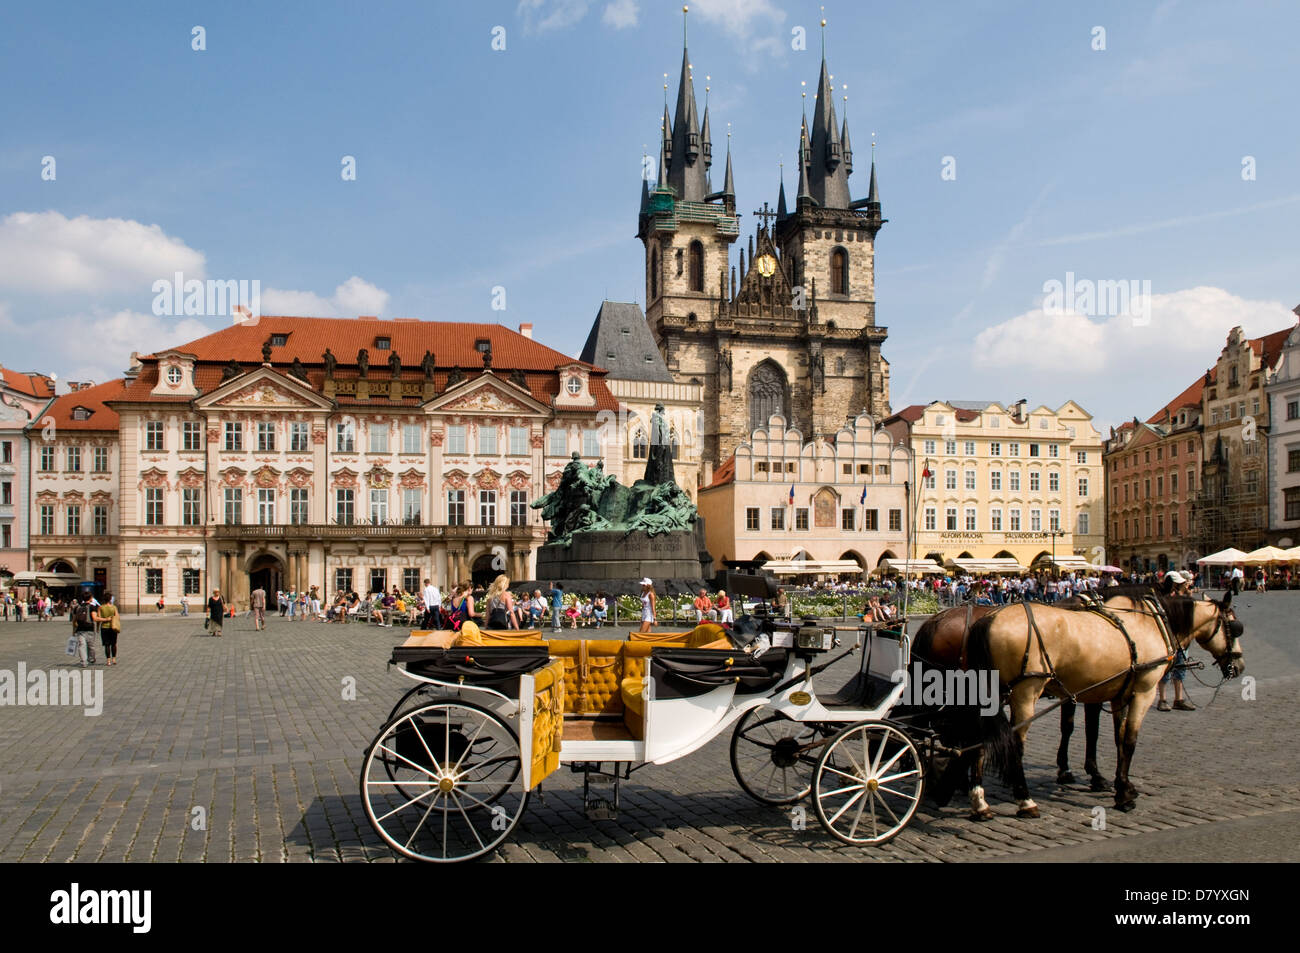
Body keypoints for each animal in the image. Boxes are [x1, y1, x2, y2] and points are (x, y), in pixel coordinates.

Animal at [972, 590, 1242, 816]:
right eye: (1235, 626)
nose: (1239, 666)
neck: (1152, 624)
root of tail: (988, 620)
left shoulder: (1117, 694)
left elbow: (1116, 738)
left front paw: (1121, 784)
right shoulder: (1143, 691)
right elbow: (1129, 740)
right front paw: (1122, 795)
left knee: (982, 740)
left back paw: (980, 802)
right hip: (1027, 691)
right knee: (1014, 743)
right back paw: (1025, 801)